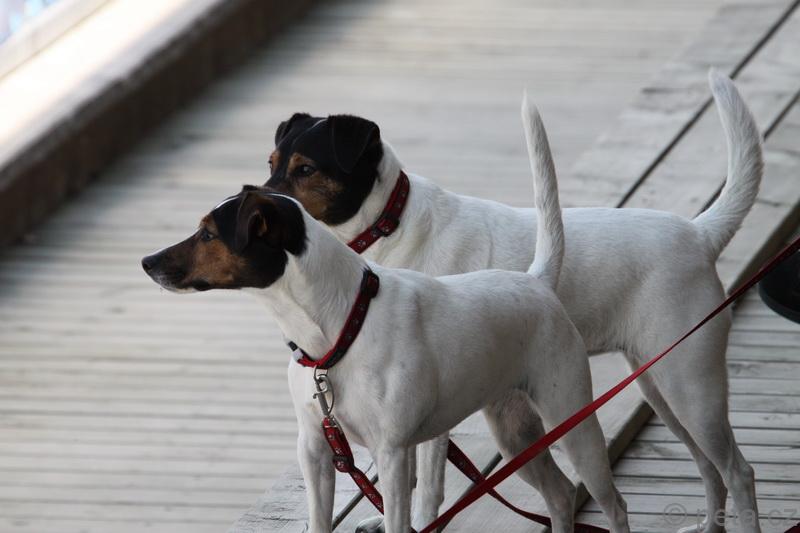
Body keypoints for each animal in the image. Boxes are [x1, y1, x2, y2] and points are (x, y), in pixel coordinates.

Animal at [142, 99, 631, 533]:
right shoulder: (315, 451)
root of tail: (536, 281)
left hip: (572, 422)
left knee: (613, 503)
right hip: (515, 434)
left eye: (208, 233)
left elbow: (408, 511)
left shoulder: (393, 452)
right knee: (561, 495)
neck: (339, 331)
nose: (147, 261)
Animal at [262, 71, 765, 533]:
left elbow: (427, 486)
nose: (263, 201)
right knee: (708, 465)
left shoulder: (427, 416)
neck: (390, 227)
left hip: (689, 384)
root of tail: (699, 233)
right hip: (659, 387)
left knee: (737, 470)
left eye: (305, 169)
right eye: (272, 162)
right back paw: (709, 525)